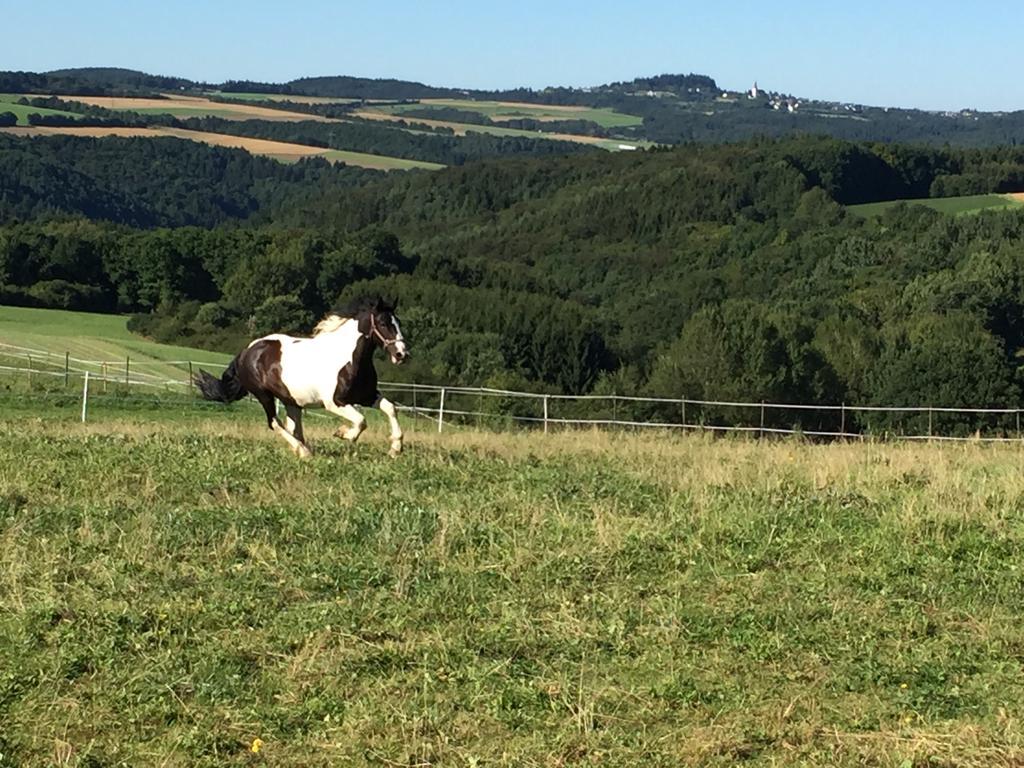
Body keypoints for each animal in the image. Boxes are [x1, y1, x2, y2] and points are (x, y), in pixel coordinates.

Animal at [194, 296, 407, 456]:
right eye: (383, 323)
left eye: (398, 323)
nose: (402, 354)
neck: (349, 359)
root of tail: (247, 352)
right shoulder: (334, 402)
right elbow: (361, 421)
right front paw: (344, 434)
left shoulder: (367, 395)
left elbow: (390, 408)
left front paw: (395, 449)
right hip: (264, 395)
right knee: (274, 423)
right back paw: (304, 452)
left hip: (291, 400)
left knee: (292, 427)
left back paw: (303, 449)